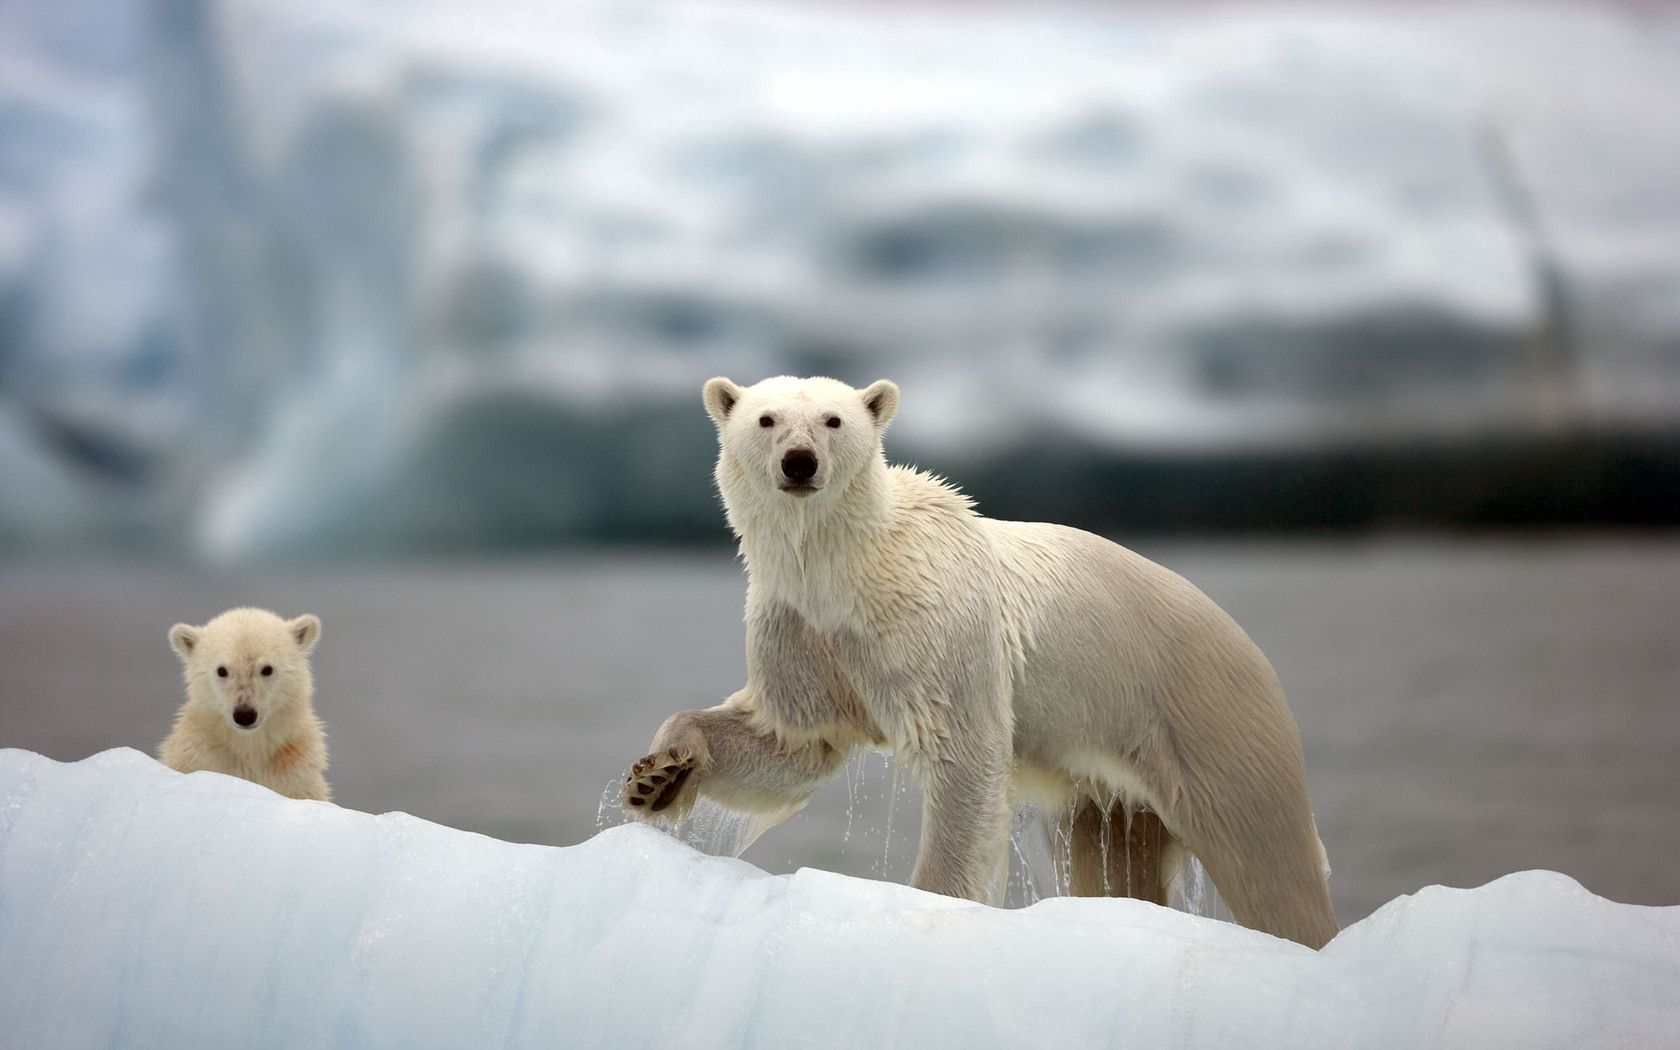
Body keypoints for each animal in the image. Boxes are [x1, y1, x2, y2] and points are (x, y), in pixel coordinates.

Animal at [621, 374, 1337, 940]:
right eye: (766, 419)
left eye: (833, 419)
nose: (799, 462)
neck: (847, 570)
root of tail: (1246, 644)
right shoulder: (799, 630)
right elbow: (792, 742)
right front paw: (658, 776)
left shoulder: (934, 627)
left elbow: (962, 756)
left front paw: (930, 901)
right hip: (1112, 783)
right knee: (1113, 859)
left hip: (1209, 718)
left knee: (1268, 861)